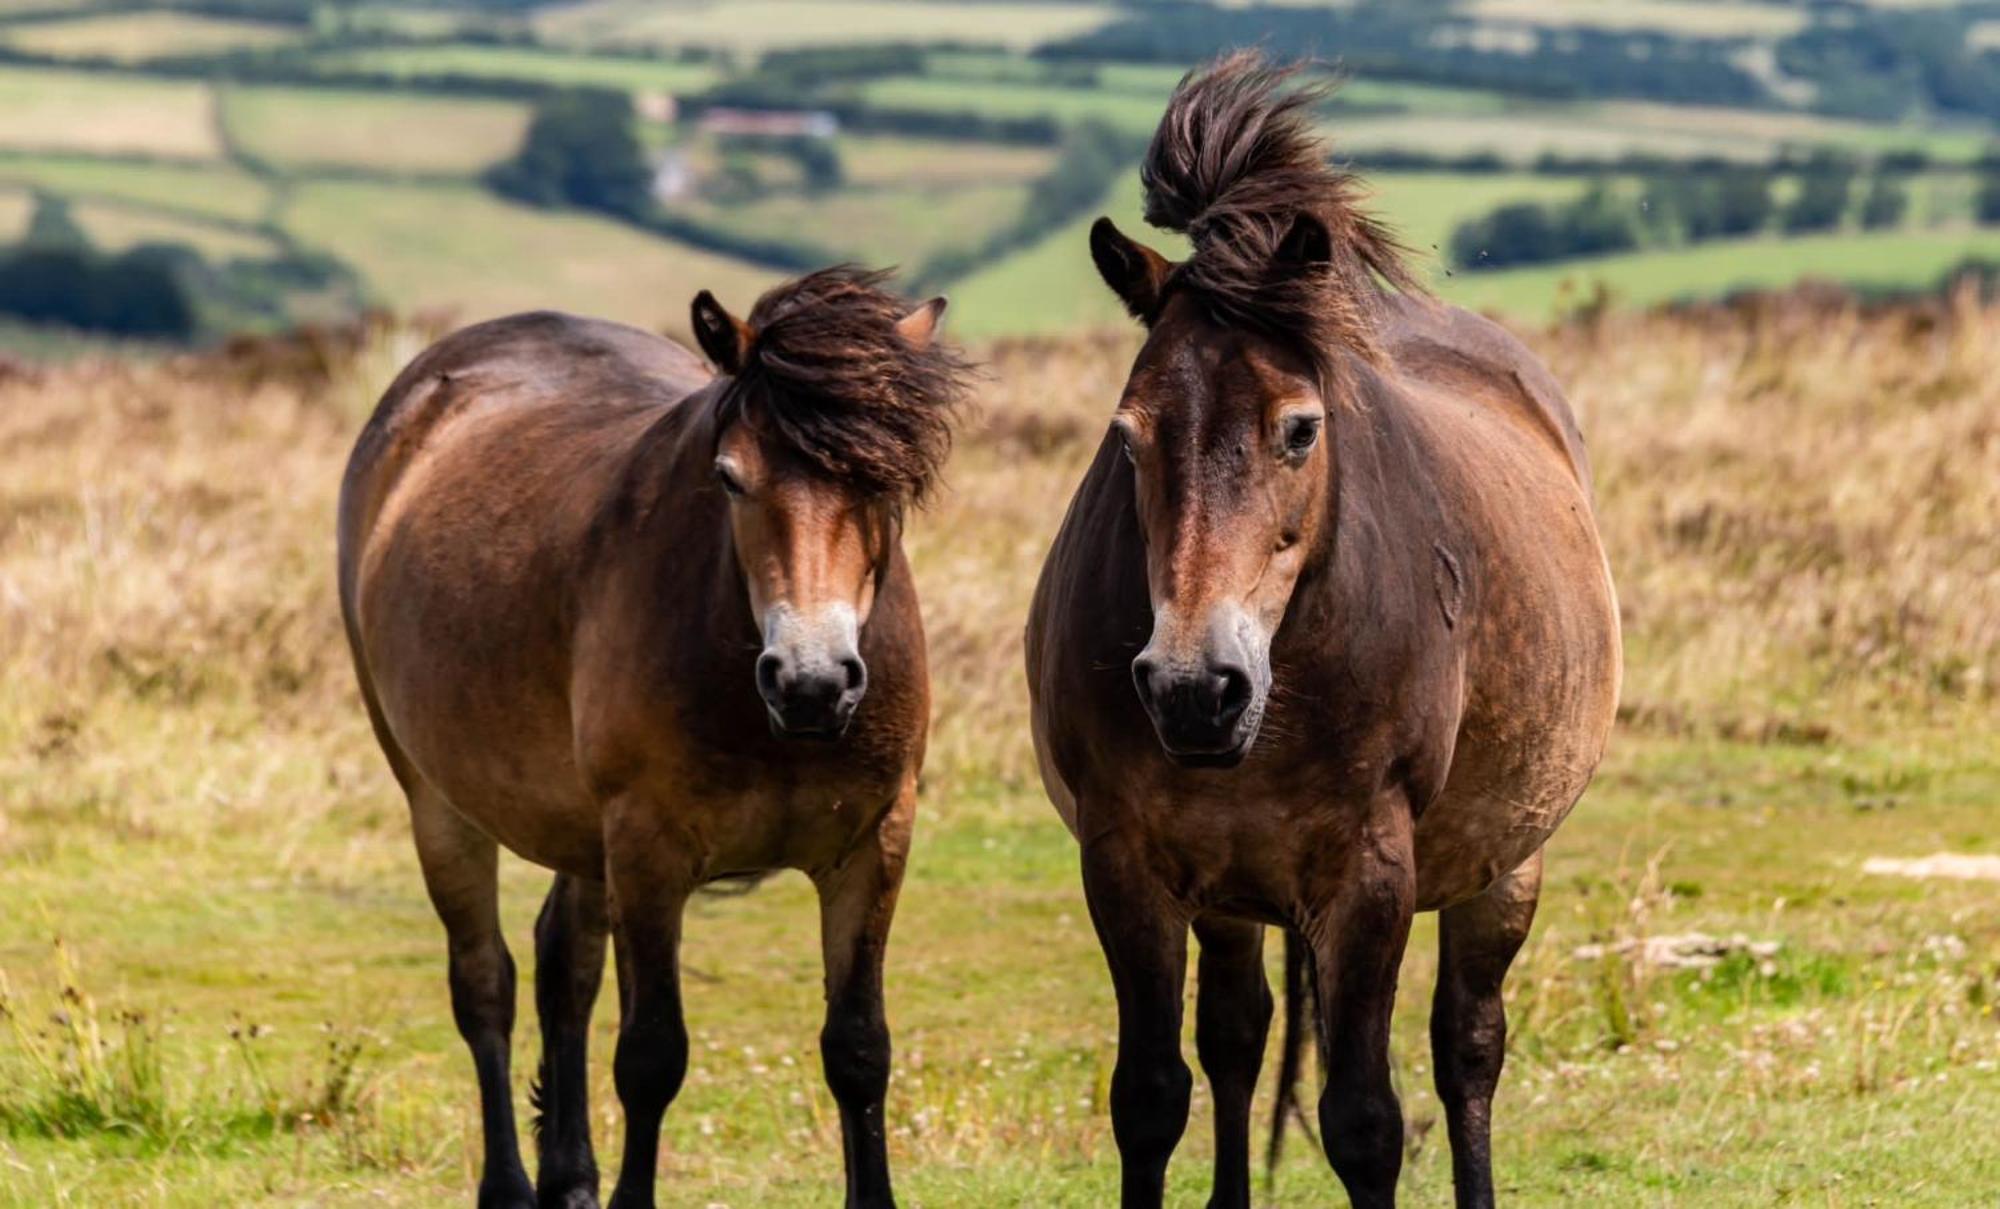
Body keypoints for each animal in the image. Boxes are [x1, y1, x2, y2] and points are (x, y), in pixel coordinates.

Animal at [340, 266, 964, 1209]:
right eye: (731, 478)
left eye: (887, 484)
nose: (811, 680)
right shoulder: (648, 847)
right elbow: (651, 1055)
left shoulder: (874, 841)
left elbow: (858, 1048)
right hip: (439, 804)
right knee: (486, 985)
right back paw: (511, 1184)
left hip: (579, 832)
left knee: (564, 966)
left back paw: (568, 1180)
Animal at [1024, 56, 1616, 1209]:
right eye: (1129, 436)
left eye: (1299, 429)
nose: (1193, 688)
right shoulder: (1126, 862)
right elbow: (1151, 1095)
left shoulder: (1369, 874)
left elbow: (1363, 1120)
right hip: (1226, 891)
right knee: (1237, 1036)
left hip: (1505, 863)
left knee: (1468, 1048)